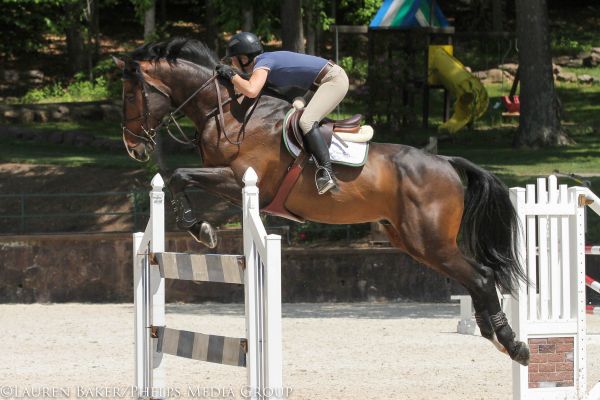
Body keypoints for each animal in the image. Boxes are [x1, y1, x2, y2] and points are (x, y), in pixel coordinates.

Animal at [116, 37, 528, 366]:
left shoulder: (242, 180)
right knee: (476, 278)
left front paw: (200, 230)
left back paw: (513, 344)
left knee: (481, 276)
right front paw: (199, 227)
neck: (227, 113)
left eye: (131, 94)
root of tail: (447, 163)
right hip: (414, 242)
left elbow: (178, 175)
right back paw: (495, 336)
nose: (133, 148)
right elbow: (177, 178)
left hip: (430, 240)